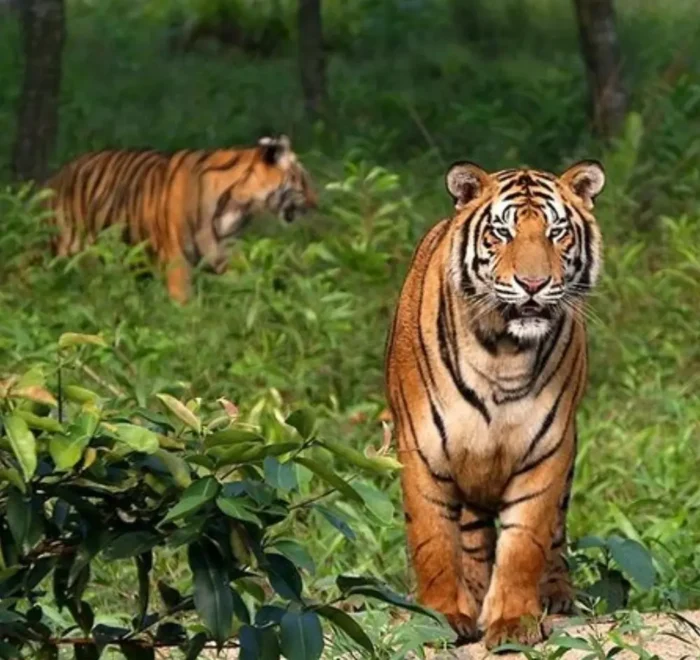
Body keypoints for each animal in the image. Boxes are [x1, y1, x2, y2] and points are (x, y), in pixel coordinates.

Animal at [44, 135, 317, 302]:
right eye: (302, 180)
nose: (316, 203)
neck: (239, 205)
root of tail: (56, 176)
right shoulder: (176, 260)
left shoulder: (225, 254)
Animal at [384, 160, 605, 648]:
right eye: (501, 233)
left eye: (557, 232)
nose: (533, 284)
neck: (503, 351)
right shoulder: (423, 449)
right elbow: (432, 540)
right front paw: (442, 615)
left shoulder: (547, 450)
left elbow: (525, 543)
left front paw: (514, 622)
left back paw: (555, 594)